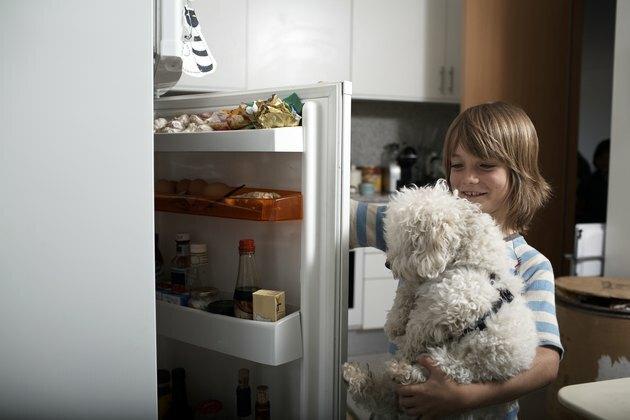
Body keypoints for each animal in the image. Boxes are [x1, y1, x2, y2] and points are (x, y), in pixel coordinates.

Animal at [346, 182, 540, 418]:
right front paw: (394, 323)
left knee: (429, 373)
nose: (387, 264)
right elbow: (406, 294)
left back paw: (400, 371)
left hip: (458, 366)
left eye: (409, 239)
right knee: (383, 393)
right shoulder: (424, 286)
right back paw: (356, 376)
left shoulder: (446, 309)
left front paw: (402, 344)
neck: (468, 261)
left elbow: (414, 332)